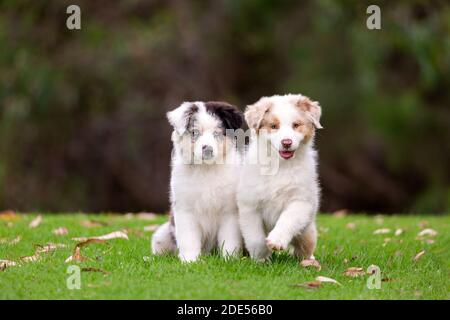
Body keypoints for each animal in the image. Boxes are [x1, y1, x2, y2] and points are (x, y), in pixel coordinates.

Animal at [151, 100, 243, 262]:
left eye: (217, 133)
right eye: (195, 132)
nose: (208, 149)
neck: (206, 169)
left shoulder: (230, 210)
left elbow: (230, 239)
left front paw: (230, 259)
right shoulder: (185, 208)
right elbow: (188, 239)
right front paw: (190, 261)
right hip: (162, 233)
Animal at [237, 94, 322, 262]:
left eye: (296, 125)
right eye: (274, 126)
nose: (286, 142)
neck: (280, 165)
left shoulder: (300, 201)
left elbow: (287, 219)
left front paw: (276, 241)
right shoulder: (250, 205)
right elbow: (255, 237)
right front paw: (261, 258)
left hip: (307, 231)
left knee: (305, 247)